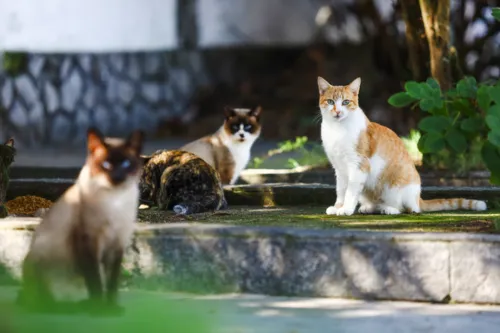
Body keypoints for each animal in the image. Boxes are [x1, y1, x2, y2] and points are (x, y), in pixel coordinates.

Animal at [318, 76, 486, 215]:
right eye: (331, 102)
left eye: (345, 102)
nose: (338, 112)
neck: (337, 130)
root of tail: (418, 198)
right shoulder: (339, 169)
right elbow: (341, 190)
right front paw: (338, 206)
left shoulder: (358, 165)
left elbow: (350, 191)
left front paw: (345, 209)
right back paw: (370, 207)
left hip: (395, 186)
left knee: (408, 209)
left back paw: (388, 209)